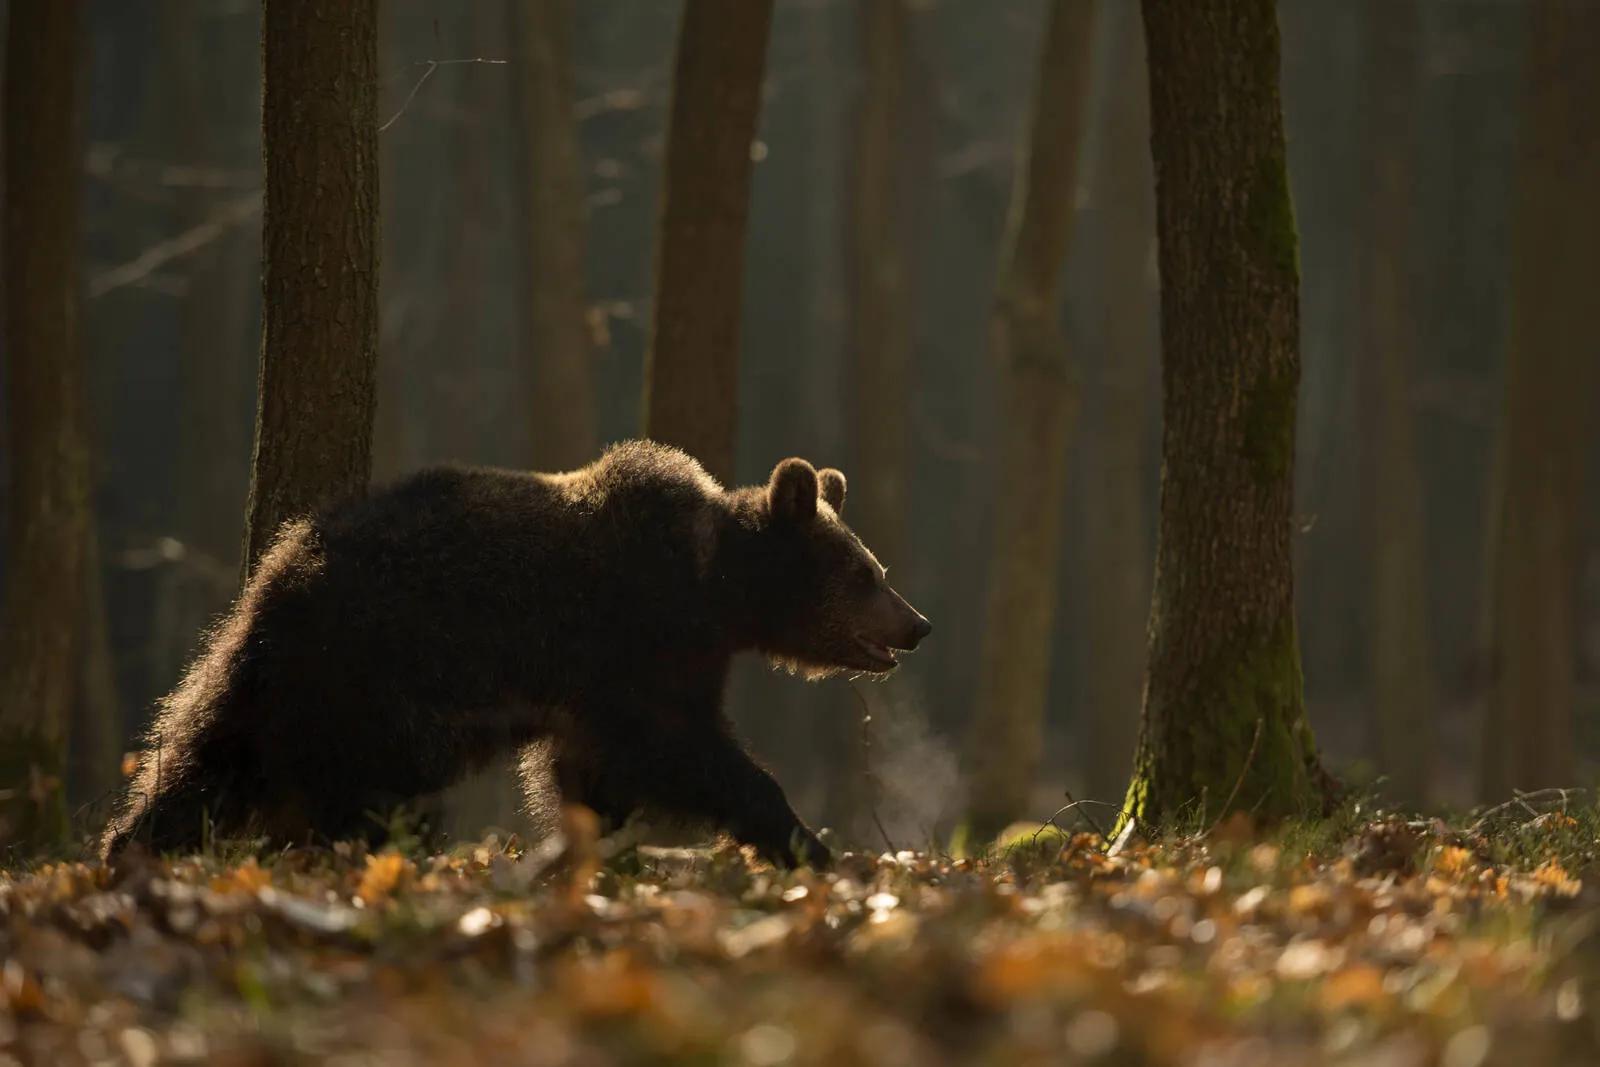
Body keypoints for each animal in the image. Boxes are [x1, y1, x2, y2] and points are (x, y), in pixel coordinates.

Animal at [103, 441, 928, 870]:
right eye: (866, 572)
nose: (917, 624)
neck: (716, 588)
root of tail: (285, 563)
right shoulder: (639, 638)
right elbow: (686, 749)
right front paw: (806, 842)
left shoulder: (608, 682)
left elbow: (590, 768)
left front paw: (590, 838)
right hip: (382, 668)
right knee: (351, 775)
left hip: (286, 670)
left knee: (205, 749)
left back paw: (136, 842)